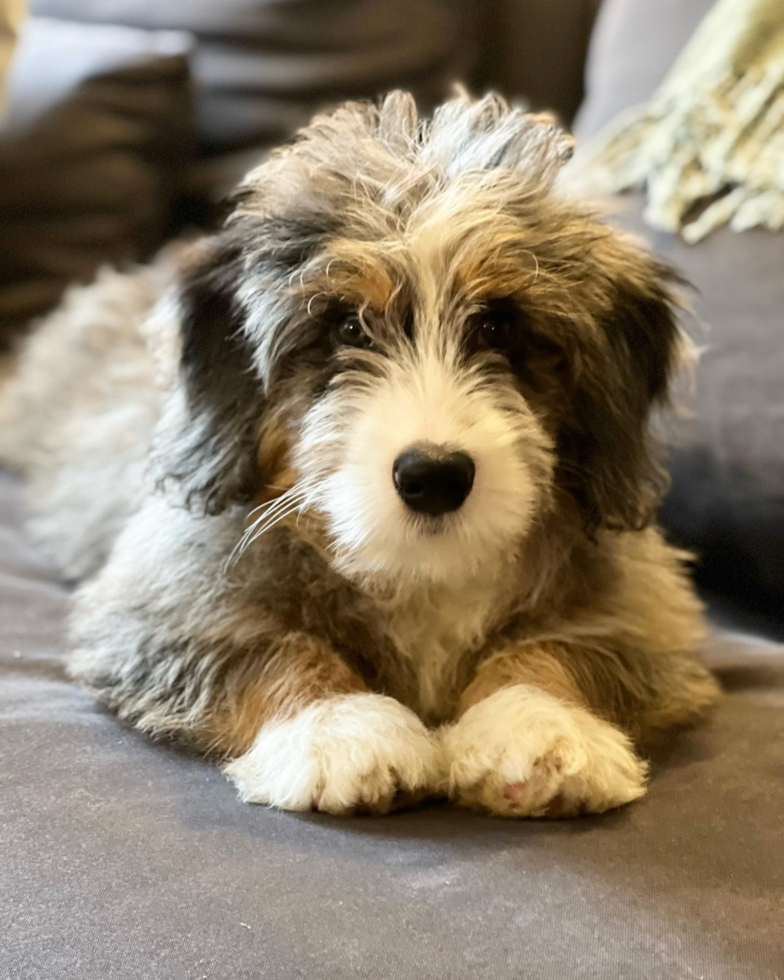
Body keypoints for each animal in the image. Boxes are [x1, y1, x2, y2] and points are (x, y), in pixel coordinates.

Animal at [0, 92, 720, 816]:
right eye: (347, 327)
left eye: (498, 326)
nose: (434, 475)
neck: (422, 574)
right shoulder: (158, 607)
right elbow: (267, 646)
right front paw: (338, 727)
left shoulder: (648, 613)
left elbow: (571, 647)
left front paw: (538, 721)